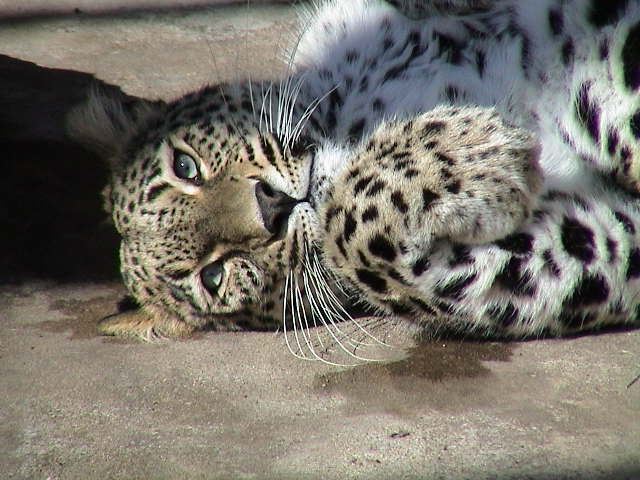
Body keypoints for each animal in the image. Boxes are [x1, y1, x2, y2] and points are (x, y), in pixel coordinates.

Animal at [67, 0, 640, 346]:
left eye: (185, 165)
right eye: (214, 276)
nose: (271, 207)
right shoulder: (579, 256)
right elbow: (355, 230)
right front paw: (484, 147)